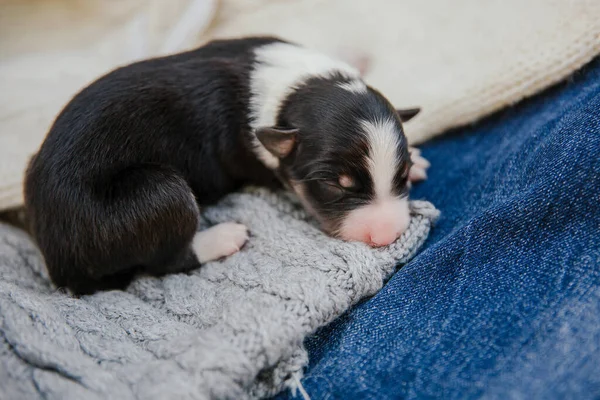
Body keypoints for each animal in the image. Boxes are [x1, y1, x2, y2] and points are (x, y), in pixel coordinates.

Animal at [23, 37, 426, 294]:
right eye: (336, 185)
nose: (388, 236)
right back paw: (223, 237)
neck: (296, 89)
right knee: (166, 261)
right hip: (157, 194)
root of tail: (56, 262)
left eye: (401, 175)